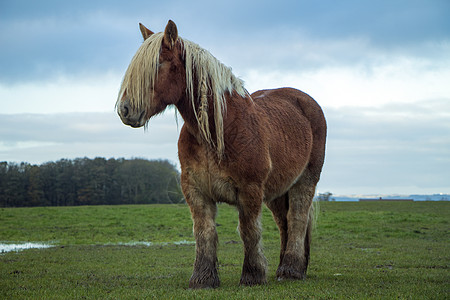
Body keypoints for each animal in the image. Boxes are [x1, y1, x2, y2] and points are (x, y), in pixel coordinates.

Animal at [116, 19, 326, 288]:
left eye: (159, 63)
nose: (125, 110)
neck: (217, 131)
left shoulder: (250, 189)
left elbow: (249, 231)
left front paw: (252, 275)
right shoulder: (196, 191)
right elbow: (204, 232)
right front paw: (203, 278)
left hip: (305, 181)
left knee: (297, 219)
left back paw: (291, 270)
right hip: (278, 190)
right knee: (284, 223)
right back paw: (286, 268)